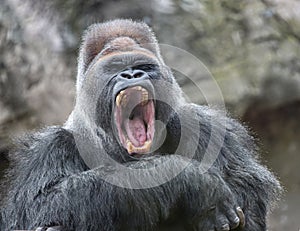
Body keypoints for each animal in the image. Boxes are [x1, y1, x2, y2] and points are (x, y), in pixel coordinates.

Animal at [0, 19, 282, 231]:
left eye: (143, 66)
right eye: (116, 67)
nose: (132, 74)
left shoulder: (207, 128)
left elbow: (249, 208)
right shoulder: (48, 148)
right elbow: (39, 204)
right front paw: (197, 182)